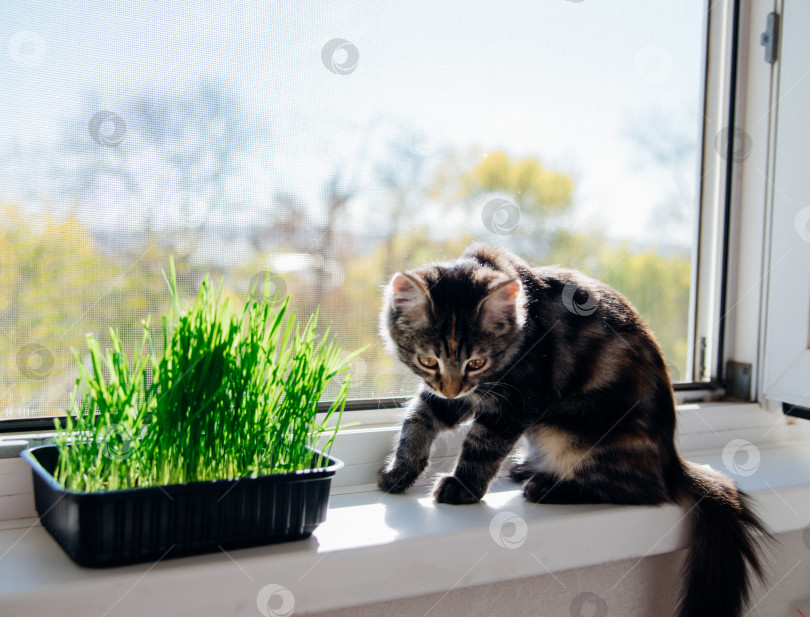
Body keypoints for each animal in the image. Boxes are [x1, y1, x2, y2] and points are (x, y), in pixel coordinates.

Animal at [376, 244, 768, 616]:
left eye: (476, 362)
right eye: (428, 360)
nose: (452, 387)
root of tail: (672, 461)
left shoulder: (515, 401)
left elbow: (481, 446)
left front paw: (463, 487)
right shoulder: (457, 397)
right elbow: (417, 421)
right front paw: (400, 472)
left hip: (571, 430)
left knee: (640, 490)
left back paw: (547, 486)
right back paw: (528, 469)